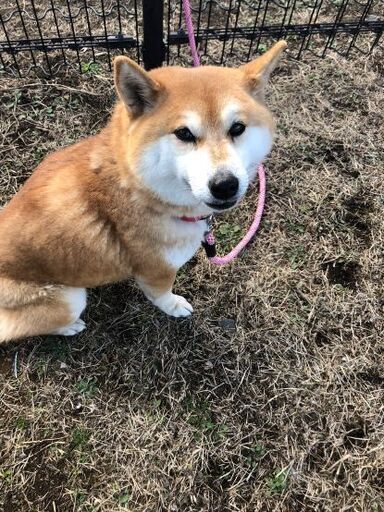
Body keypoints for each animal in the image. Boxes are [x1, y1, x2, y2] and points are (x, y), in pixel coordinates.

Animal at [0, 41, 288, 344]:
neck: (138, 189)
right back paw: (70, 327)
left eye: (237, 128)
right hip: (70, 298)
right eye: (184, 133)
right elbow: (162, 296)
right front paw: (174, 306)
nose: (225, 184)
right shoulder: (156, 272)